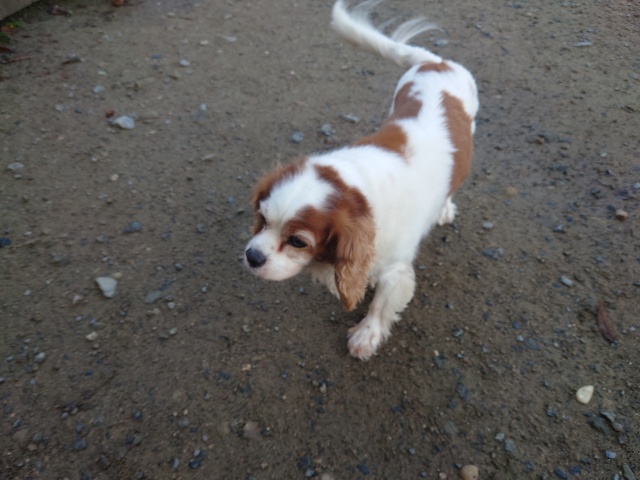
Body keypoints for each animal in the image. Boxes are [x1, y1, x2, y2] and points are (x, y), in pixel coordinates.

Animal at [244, 0, 478, 360]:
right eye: (263, 219)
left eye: (298, 241)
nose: (252, 256)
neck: (358, 189)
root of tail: (433, 62)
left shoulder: (396, 270)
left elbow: (381, 305)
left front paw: (367, 335)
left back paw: (444, 208)